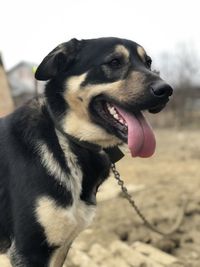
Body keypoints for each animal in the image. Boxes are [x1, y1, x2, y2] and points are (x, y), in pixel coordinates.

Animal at [0, 36, 172, 266]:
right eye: (114, 62)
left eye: (148, 62)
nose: (167, 90)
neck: (64, 140)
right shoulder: (30, 250)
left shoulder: (60, 247)